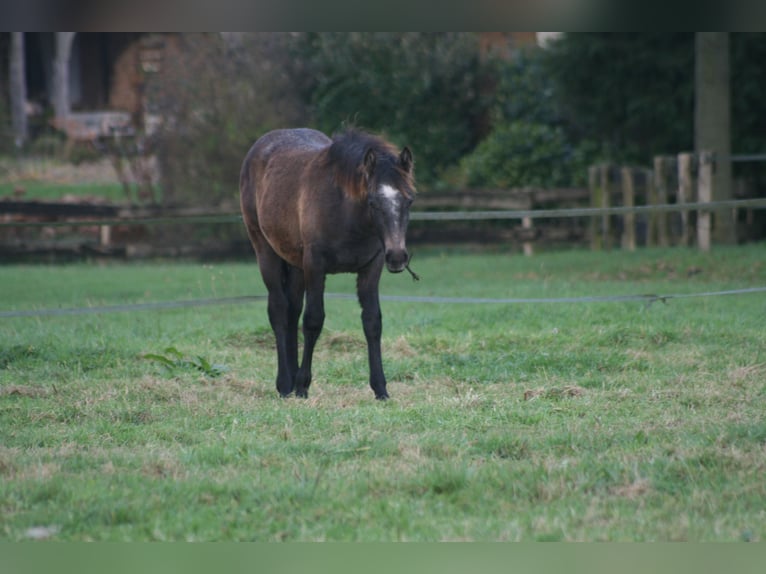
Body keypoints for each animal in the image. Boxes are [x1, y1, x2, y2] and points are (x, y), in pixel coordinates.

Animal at [242, 129, 416, 402]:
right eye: (373, 202)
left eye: (409, 201)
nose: (397, 257)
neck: (347, 214)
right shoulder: (315, 266)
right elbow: (313, 320)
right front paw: (303, 385)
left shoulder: (372, 267)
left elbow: (372, 322)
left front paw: (380, 388)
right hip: (265, 250)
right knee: (279, 309)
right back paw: (285, 384)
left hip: (295, 265)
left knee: (292, 310)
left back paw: (290, 379)